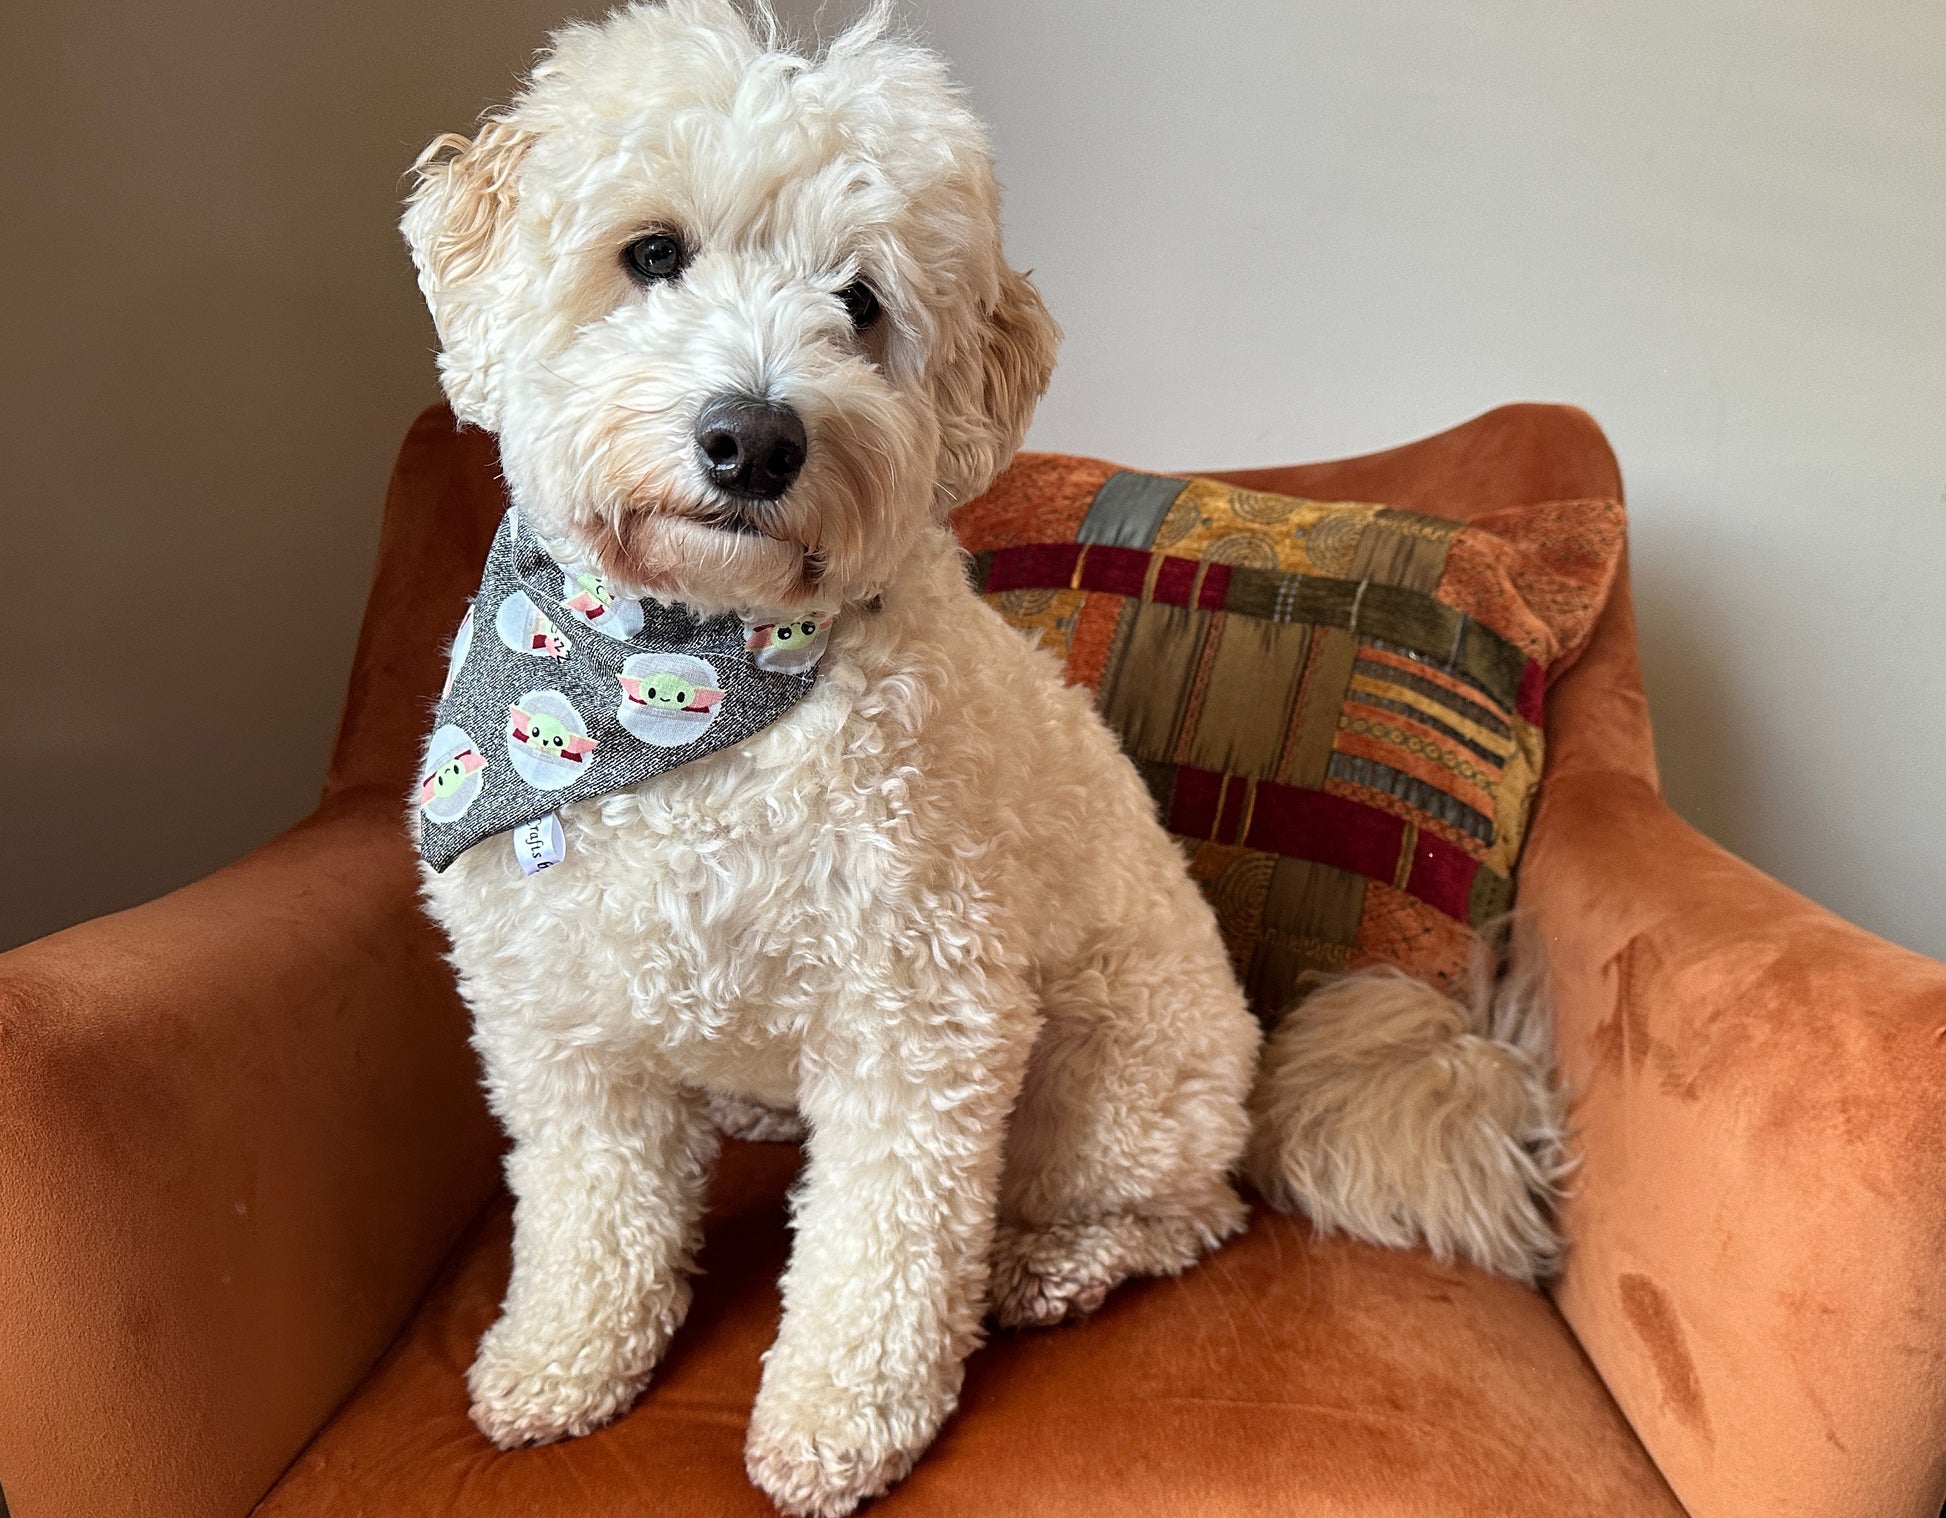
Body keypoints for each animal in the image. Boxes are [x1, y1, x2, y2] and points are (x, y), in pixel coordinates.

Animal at [406, 5, 1564, 1510]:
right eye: (651, 252)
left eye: (859, 304)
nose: (754, 438)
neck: (674, 686)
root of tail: (1250, 1085)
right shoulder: (560, 1016)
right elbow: (587, 1213)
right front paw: (559, 1358)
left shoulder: (920, 1014)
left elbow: (880, 1248)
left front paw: (839, 1420)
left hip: (1102, 1086)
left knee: (1181, 1215)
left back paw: (1050, 1265)